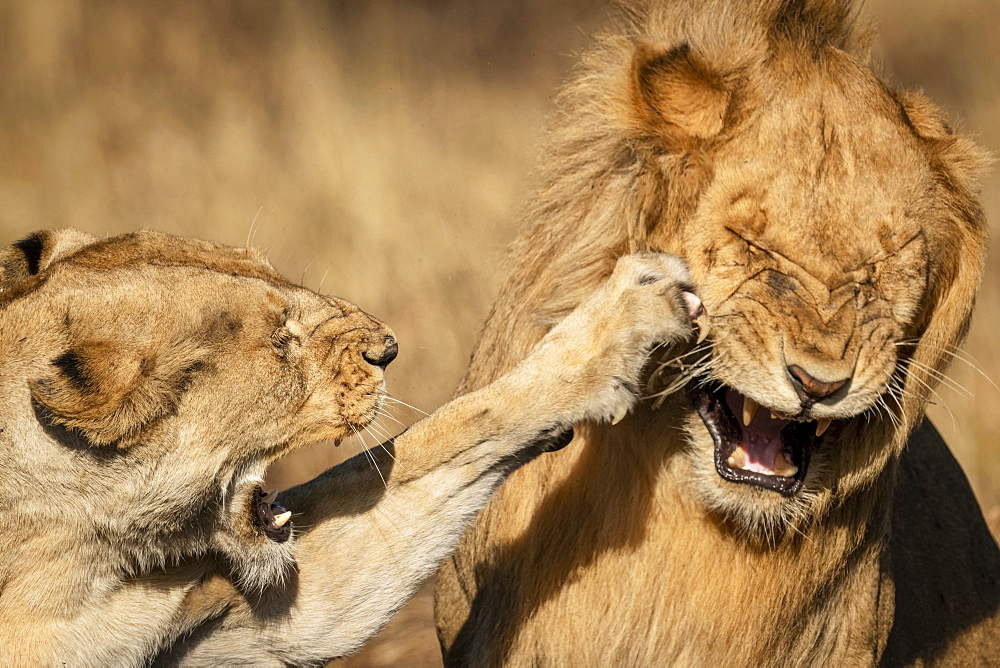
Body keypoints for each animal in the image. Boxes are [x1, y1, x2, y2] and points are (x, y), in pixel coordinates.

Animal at [0, 226, 704, 664]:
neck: (71, 558)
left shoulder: (226, 617)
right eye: (279, 341)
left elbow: (453, 430)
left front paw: (626, 318)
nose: (388, 349)